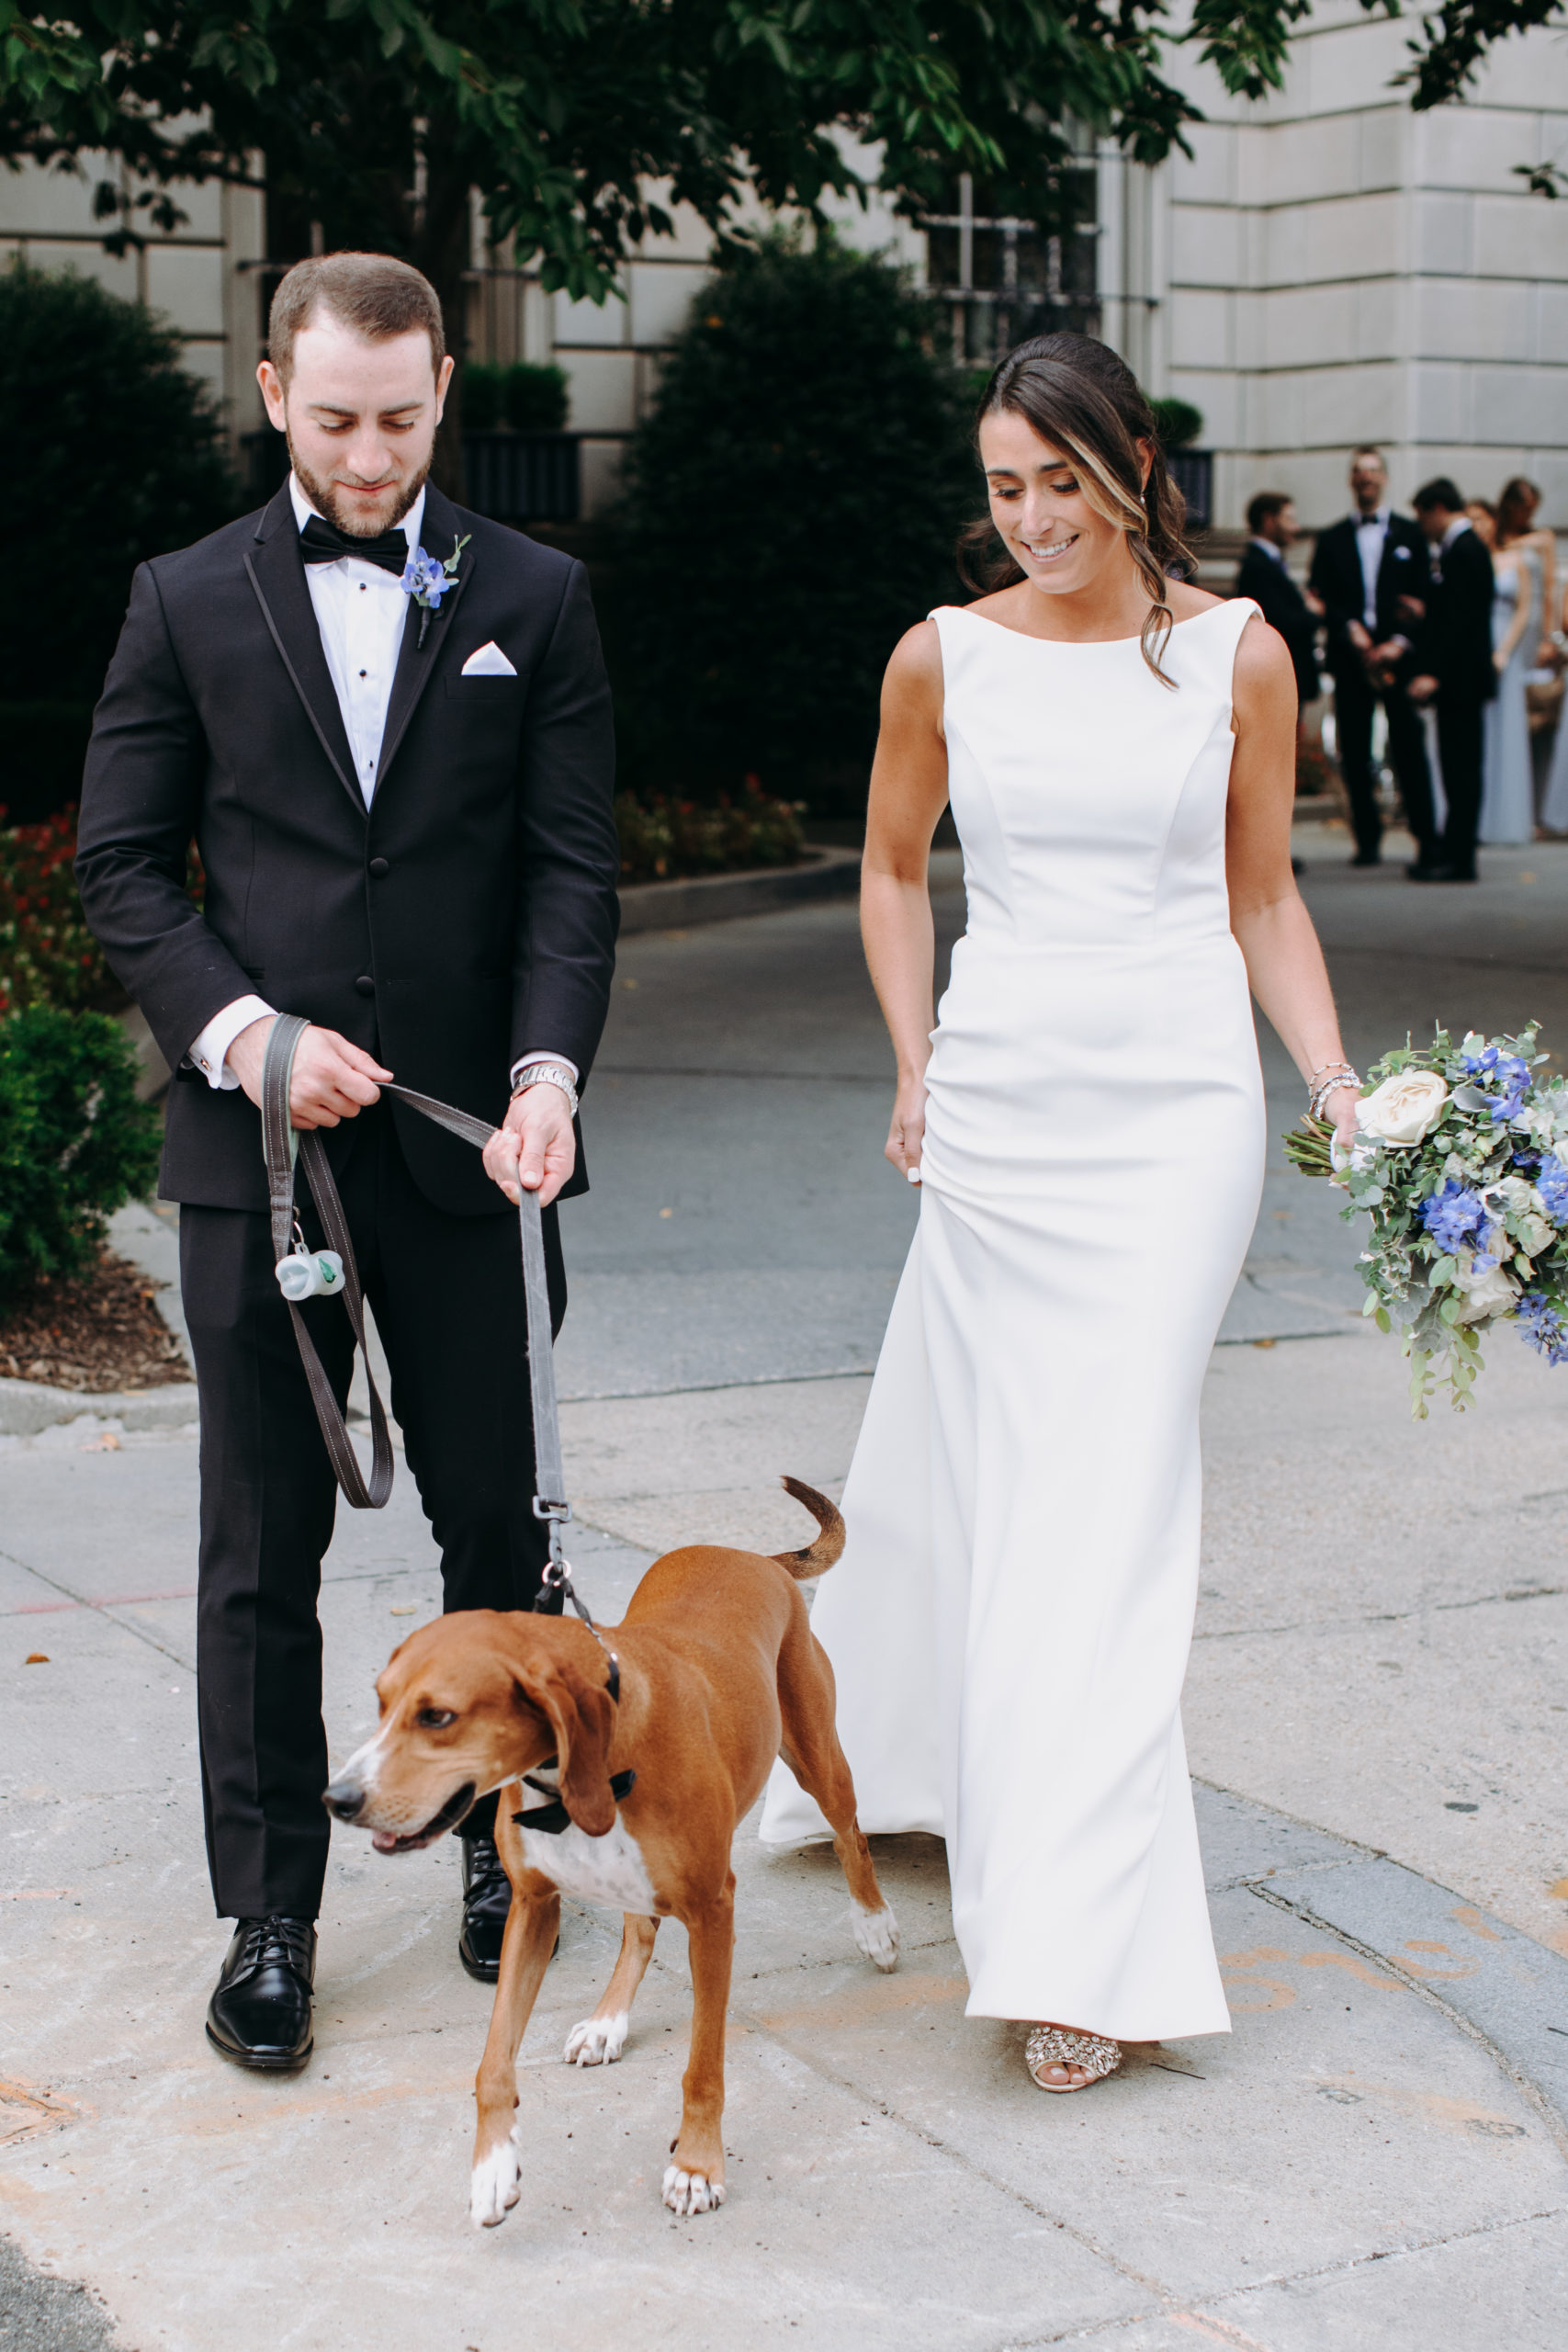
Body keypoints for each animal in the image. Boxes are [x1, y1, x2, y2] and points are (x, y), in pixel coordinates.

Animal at [324, 1476, 902, 2229]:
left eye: (438, 1716)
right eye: (380, 1703)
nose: (336, 1798)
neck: (583, 1772)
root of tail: (754, 1557)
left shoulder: (713, 1911)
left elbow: (703, 2066)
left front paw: (697, 2165)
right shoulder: (532, 1908)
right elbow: (492, 2062)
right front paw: (491, 2165)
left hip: (817, 1757)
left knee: (850, 1833)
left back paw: (875, 1926)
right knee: (639, 1928)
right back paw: (607, 2022)